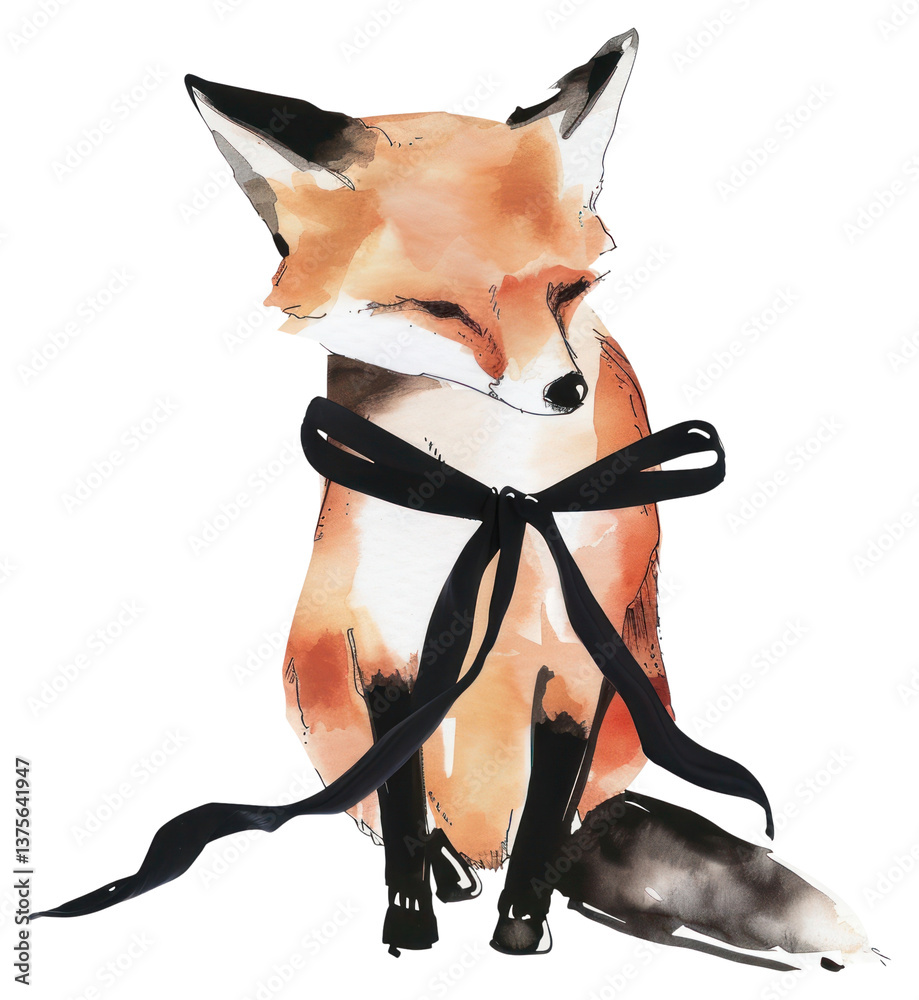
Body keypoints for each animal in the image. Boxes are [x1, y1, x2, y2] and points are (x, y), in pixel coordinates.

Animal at [34, 30, 876, 970]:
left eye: (566, 292)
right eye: (440, 309)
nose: (564, 393)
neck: (492, 492)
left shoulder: (578, 663)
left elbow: (546, 815)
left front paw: (521, 926)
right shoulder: (387, 646)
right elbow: (401, 806)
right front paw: (411, 918)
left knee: (569, 821)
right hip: (317, 700)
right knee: (392, 812)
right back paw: (449, 871)